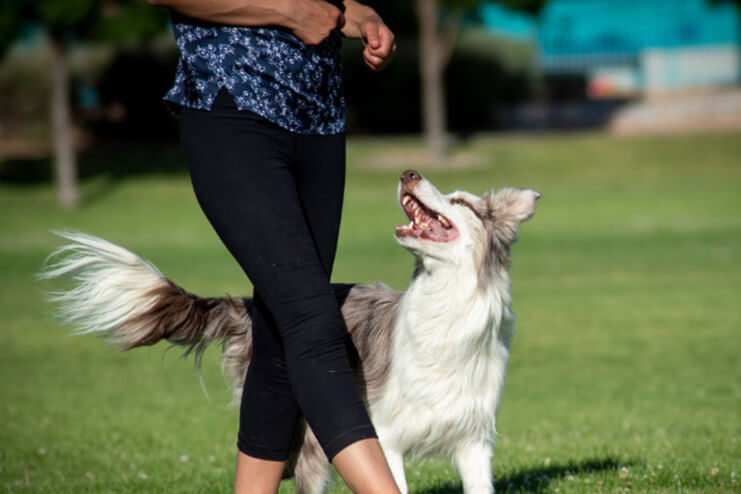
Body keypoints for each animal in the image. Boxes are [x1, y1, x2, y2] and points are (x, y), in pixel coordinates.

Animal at [40, 170, 536, 494]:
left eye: (463, 203)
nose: (408, 172)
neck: (446, 306)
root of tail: (255, 307)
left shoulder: (473, 442)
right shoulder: (385, 437)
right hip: (305, 433)